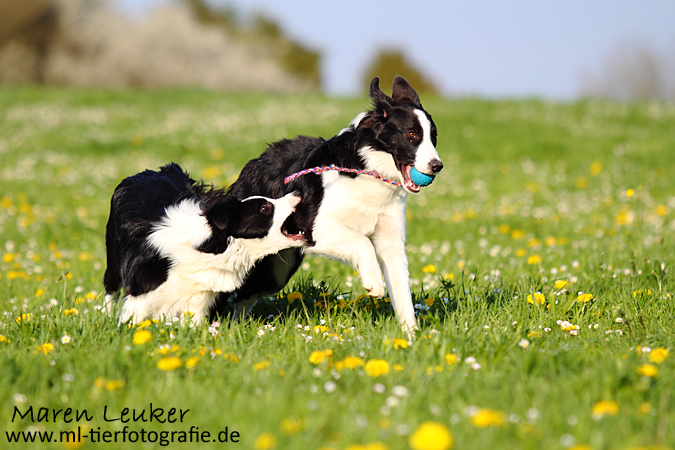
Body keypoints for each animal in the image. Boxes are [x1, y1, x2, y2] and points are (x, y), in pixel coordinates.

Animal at [103, 163, 304, 326]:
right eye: (264, 207)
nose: (298, 193)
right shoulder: (140, 296)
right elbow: (131, 324)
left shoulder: (199, 300)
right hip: (113, 258)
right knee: (110, 287)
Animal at [217, 75, 444, 334]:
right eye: (411, 134)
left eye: (433, 136)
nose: (437, 166)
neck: (367, 169)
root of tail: (253, 163)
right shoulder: (316, 229)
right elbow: (363, 242)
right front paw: (374, 283)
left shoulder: (391, 243)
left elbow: (402, 293)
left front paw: (411, 336)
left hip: (277, 269)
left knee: (246, 296)